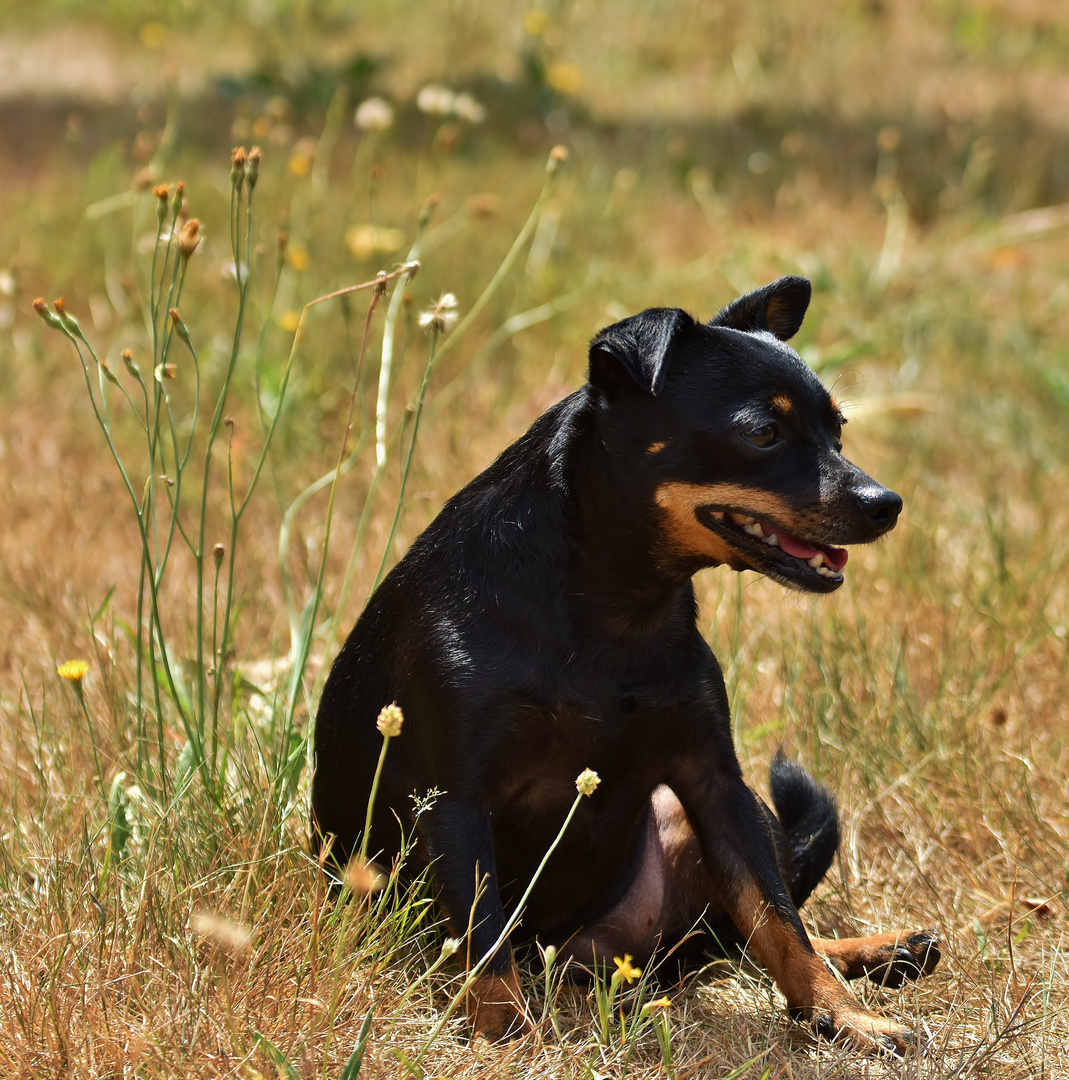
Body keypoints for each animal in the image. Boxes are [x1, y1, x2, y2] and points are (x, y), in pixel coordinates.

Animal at [313, 276, 941, 1054]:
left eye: (839, 431)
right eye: (761, 433)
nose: (885, 503)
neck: (618, 607)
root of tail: (577, 955)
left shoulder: (715, 785)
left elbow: (777, 918)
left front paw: (843, 1015)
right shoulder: (456, 801)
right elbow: (483, 934)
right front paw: (503, 1036)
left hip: (708, 819)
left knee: (750, 931)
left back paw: (875, 952)